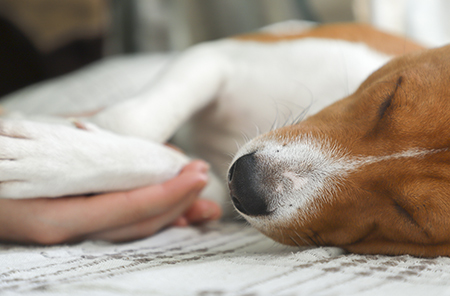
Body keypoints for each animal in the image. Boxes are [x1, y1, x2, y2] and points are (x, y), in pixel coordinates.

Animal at [2, 21, 446, 256]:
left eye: (410, 217)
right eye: (388, 100)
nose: (246, 183)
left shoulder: (213, 184)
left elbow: (176, 166)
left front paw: (51, 160)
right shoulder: (220, 58)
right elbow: (132, 119)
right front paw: (52, 143)